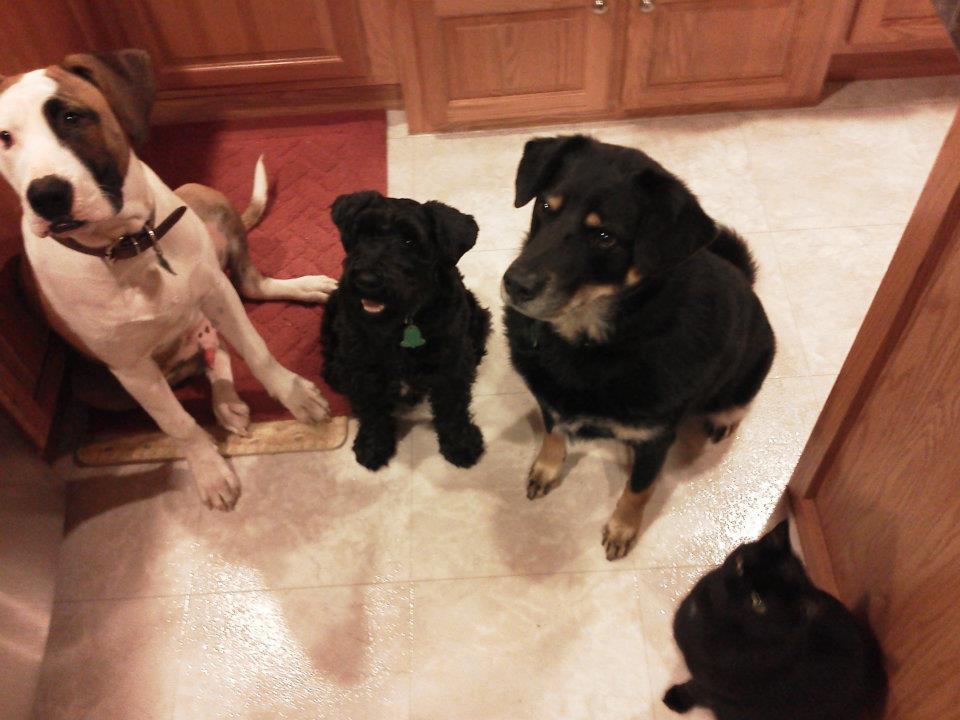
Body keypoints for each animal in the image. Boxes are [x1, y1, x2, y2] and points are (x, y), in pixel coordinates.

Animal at [0, 50, 338, 510]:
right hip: (96, 385)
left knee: (248, 291)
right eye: (4, 138)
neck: (129, 246)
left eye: (72, 117)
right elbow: (177, 422)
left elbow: (259, 352)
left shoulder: (216, 291)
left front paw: (295, 395)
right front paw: (210, 470)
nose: (46, 195)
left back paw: (299, 293)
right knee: (211, 354)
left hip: (202, 198)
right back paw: (225, 402)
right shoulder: (130, 367)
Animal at [321, 191, 491, 471]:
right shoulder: (363, 368)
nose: (366, 280)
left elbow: (453, 406)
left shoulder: (451, 365)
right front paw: (373, 446)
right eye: (363, 233)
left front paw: (461, 443)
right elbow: (371, 409)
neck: (404, 322)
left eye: (410, 241)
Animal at [502, 135, 776, 560]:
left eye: (604, 236)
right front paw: (547, 467)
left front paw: (622, 528)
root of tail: (746, 281)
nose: (515, 284)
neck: (594, 343)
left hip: (749, 371)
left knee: (736, 403)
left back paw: (725, 418)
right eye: (546, 206)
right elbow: (553, 433)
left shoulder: (655, 439)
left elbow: (639, 489)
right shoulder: (550, 400)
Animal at [664, 520, 887, 720]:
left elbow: (696, 689)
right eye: (740, 565)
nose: (728, 588)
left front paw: (675, 699)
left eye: (758, 602)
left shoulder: (717, 686)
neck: (708, 619)